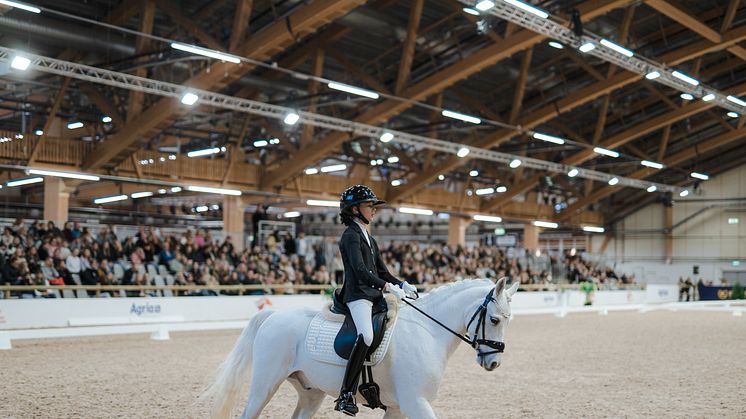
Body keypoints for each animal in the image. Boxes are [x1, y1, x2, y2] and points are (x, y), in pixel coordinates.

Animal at [202, 278, 516, 419]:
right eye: (495, 319)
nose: (494, 363)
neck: (427, 332)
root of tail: (273, 316)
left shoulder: (399, 407)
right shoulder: (416, 402)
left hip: (310, 393)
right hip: (264, 385)